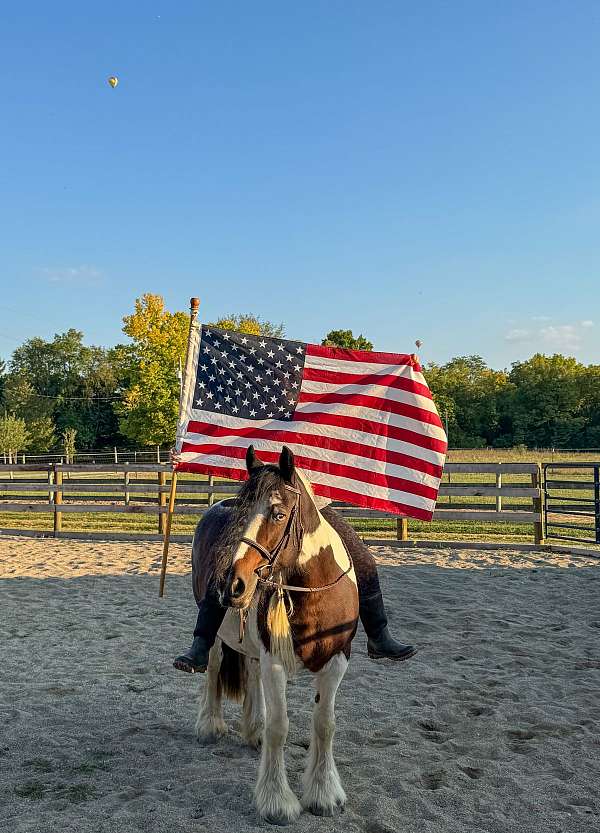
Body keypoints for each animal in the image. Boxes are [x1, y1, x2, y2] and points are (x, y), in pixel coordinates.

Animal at [190, 445, 359, 824]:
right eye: (242, 512)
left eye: (279, 514)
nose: (233, 585)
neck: (314, 594)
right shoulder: (276, 662)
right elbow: (279, 727)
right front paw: (277, 801)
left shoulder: (337, 661)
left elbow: (325, 723)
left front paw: (324, 794)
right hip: (217, 638)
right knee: (212, 666)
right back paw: (211, 725)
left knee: (251, 670)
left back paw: (252, 730)